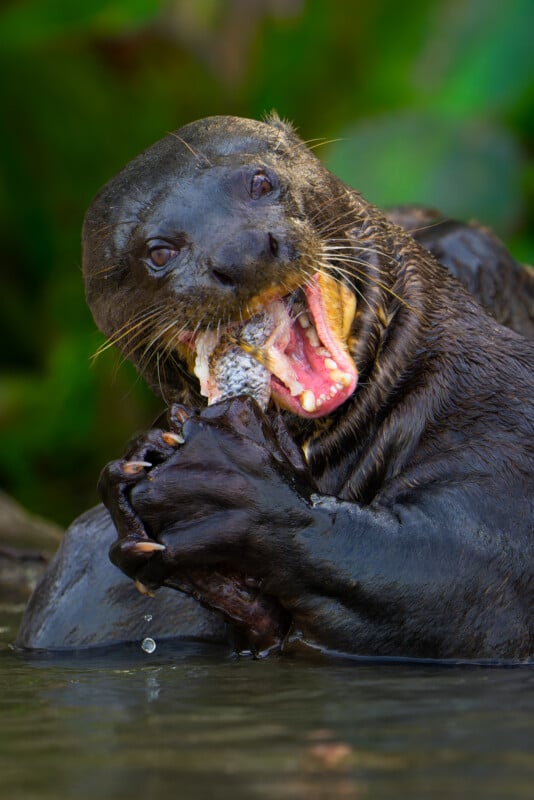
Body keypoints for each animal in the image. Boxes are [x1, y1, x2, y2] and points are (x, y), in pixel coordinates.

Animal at [17, 114, 534, 664]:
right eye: (159, 251)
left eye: (260, 181)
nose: (240, 251)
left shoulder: (506, 466)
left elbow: (455, 582)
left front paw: (221, 483)